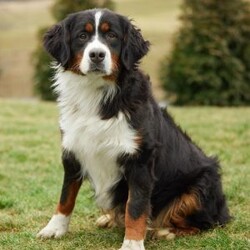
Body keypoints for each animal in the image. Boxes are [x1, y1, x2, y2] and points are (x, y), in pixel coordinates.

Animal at [37, 8, 230, 250]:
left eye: (112, 36)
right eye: (82, 36)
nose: (97, 55)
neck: (97, 95)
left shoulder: (140, 161)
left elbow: (136, 207)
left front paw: (132, 243)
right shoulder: (73, 152)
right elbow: (66, 197)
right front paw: (55, 228)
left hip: (199, 186)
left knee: (203, 223)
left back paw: (165, 231)